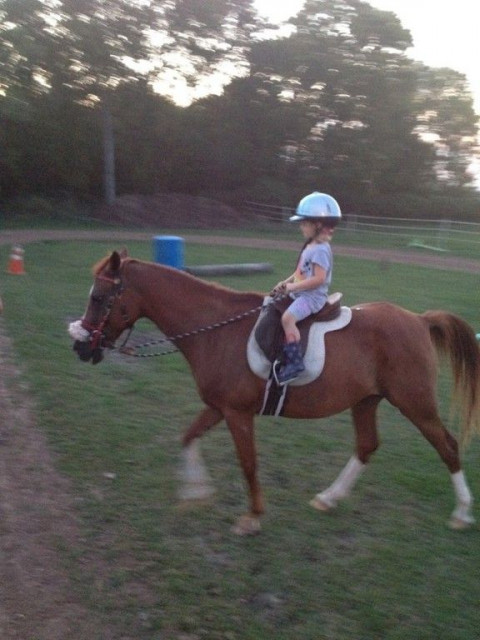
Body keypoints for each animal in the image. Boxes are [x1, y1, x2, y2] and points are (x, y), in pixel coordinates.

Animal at [68, 250, 480, 536]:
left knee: (447, 446)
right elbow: (188, 437)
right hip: (366, 401)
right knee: (366, 446)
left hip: (415, 403)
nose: (81, 347)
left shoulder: (237, 413)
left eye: (99, 297)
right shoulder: (218, 407)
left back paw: (461, 513)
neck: (215, 330)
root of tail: (420, 320)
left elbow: (248, 463)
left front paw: (251, 517)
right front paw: (195, 493)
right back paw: (329, 498)